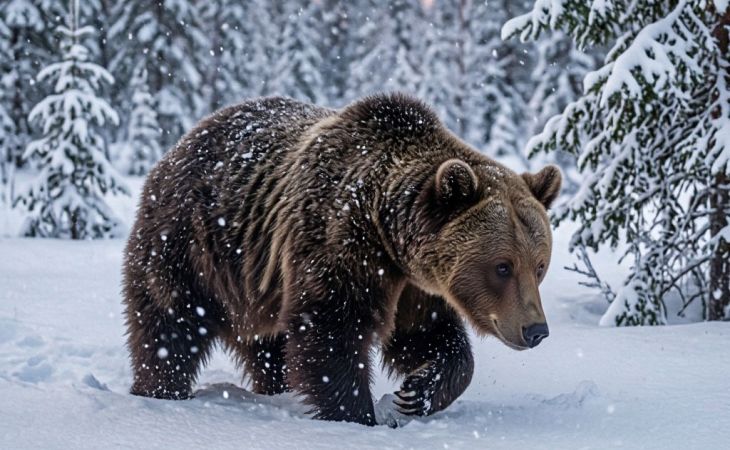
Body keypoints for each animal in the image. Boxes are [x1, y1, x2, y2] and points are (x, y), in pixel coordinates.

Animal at [122, 93, 561, 426]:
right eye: (502, 266)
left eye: (539, 265)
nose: (536, 330)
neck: (387, 230)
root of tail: (184, 139)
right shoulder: (339, 243)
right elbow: (332, 330)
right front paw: (357, 415)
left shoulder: (415, 286)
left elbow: (427, 337)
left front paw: (415, 392)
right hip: (192, 243)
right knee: (168, 321)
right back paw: (160, 389)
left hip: (257, 280)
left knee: (268, 346)